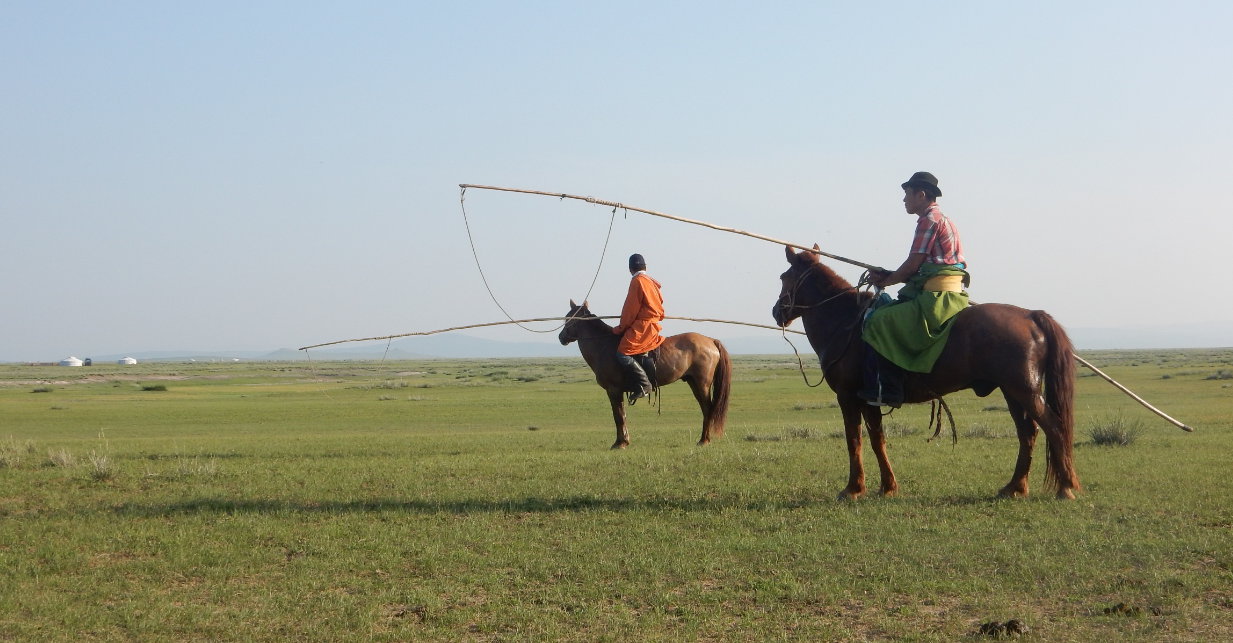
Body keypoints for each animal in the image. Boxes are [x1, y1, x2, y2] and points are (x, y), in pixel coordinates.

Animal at [562, 299, 729, 446]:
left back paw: (704, 440)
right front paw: (624, 440)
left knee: (708, 408)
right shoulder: (618, 391)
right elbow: (622, 414)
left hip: (702, 384)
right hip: (693, 382)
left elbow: (618, 416)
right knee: (706, 409)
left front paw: (620, 443)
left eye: (570, 318)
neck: (603, 345)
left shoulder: (613, 390)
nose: (561, 337)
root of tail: (710, 340)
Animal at [779, 243, 1080, 498]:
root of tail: (1032, 315)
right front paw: (887, 486)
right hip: (1012, 391)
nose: (776, 311)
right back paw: (1015, 487)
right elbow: (877, 439)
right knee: (1028, 433)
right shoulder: (869, 398)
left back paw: (1065, 487)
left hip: (1023, 389)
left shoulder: (848, 396)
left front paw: (853, 489)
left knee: (1053, 427)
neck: (845, 323)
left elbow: (854, 440)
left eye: (783, 277)